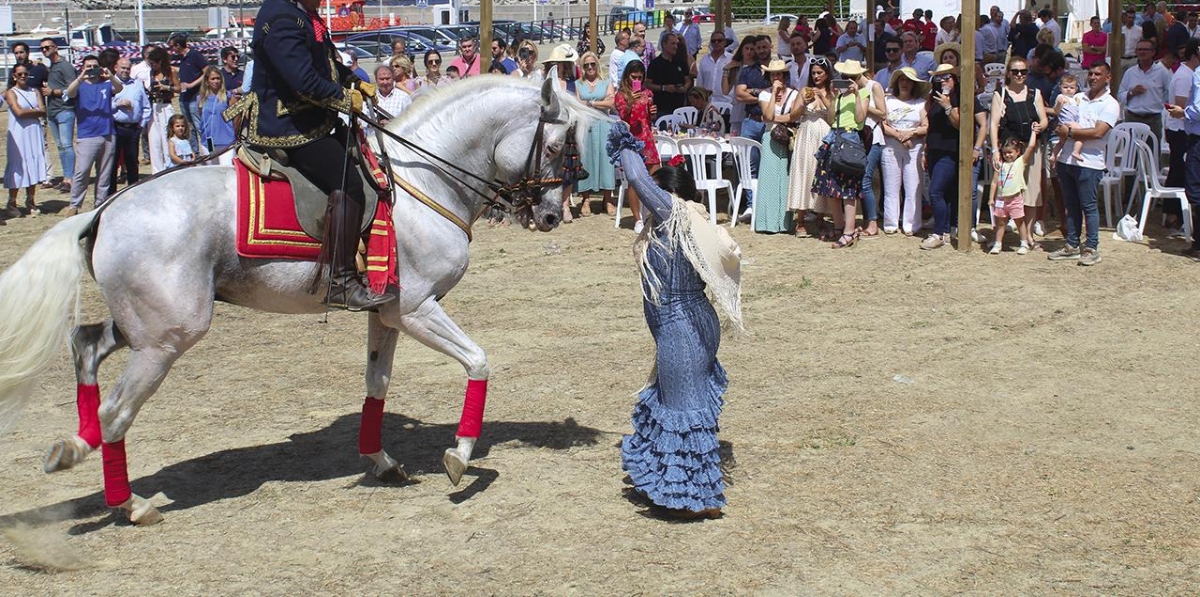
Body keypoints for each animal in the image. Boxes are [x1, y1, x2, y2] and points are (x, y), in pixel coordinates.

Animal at [0, 77, 597, 522]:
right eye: (553, 145)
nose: (550, 216)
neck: (423, 182)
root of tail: (106, 209)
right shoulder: (417, 309)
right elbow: (479, 362)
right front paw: (459, 455)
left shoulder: (385, 314)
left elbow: (377, 384)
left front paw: (380, 460)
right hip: (168, 337)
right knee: (116, 409)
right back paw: (131, 504)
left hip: (143, 326)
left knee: (85, 347)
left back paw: (75, 448)